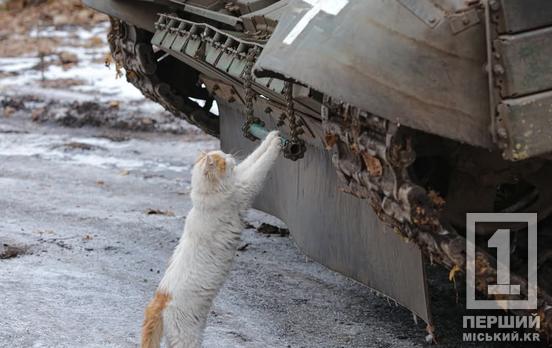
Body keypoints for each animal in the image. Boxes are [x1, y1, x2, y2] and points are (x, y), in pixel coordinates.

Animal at [140, 130, 282, 348]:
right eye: (223, 160)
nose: (230, 156)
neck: (203, 200)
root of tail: (160, 299)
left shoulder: (240, 178)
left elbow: (254, 156)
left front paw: (271, 136)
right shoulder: (245, 187)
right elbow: (260, 165)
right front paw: (276, 143)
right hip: (187, 337)